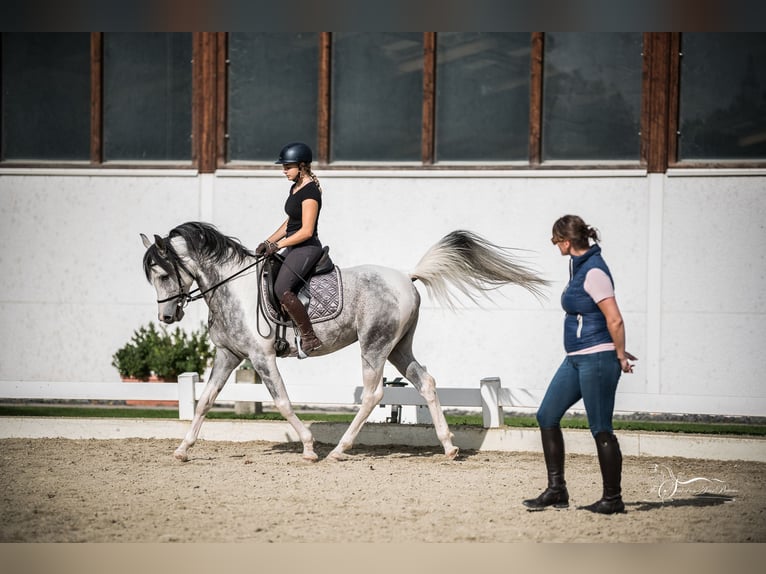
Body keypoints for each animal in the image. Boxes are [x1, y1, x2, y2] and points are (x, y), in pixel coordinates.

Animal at [141, 221, 548, 462]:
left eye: (162, 273)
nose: (167, 318)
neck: (232, 288)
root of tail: (407, 277)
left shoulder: (261, 356)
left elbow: (283, 402)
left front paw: (308, 447)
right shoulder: (228, 355)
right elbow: (205, 401)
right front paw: (182, 449)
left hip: (374, 345)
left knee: (373, 393)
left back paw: (339, 450)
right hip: (398, 347)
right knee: (427, 383)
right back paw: (448, 446)